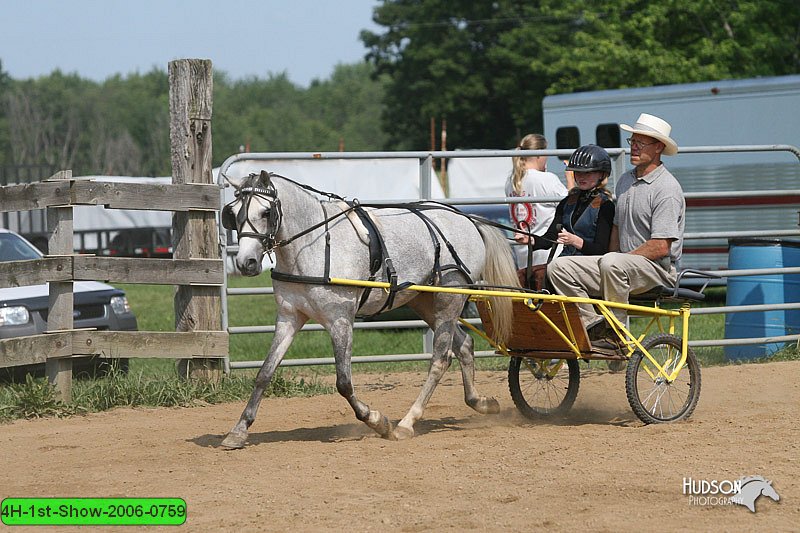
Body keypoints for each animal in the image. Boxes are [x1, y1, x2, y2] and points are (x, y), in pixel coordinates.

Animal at [219, 170, 520, 444]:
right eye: (232, 213)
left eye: (266, 212)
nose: (246, 262)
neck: (313, 246)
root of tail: (466, 218)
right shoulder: (289, 317)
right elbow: (264, 373)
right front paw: (239, 430)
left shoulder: (340, 320)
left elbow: (343, 382)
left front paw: (377, 421)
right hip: (425, 303)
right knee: (464, 345)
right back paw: (480, 402)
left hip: (450, 300)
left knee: (440, 358)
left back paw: (407, 423)